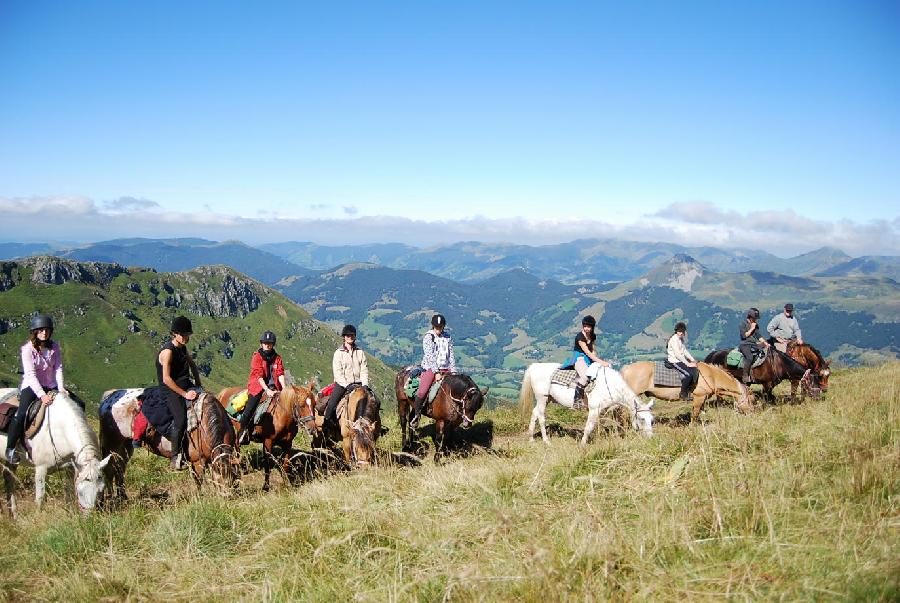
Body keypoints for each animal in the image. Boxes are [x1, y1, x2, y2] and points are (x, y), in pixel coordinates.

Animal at [0, 392, 111, 520]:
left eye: (101, 490)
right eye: (80, 492)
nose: (89, 519)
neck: (59, 428)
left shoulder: (70, 468)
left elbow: (68, 494)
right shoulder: (41, 469)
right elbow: (40, 499)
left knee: (8, 477)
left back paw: (13, 515)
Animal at [99, 386, 239, 500]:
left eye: (234, 476)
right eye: (219, 476)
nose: (227, 495)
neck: (204, 423)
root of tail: (108, 398)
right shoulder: (197, 461)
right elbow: (199, 481)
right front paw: (200, 497)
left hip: (125, 445)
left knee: (119, 467)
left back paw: (123, 496)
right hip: (111, 443)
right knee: (109, 469)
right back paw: (111, 497)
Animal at [516, 360, 656, 446]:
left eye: (652, 420)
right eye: (642, 419)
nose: (650, 438)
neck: (610, 385)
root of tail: (535, 366)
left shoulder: (608, 409)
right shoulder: (594, 409)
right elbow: (589, 427)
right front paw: (583, 444)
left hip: (547, 399)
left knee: (534, 413)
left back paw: (531, 439)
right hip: (542, 398)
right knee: (541, 416)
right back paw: (546, 441)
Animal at [620, 360, 752, 422]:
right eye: (750, 400)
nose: (752, 413)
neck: (711, 375)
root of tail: (626, 368)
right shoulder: (699, 397)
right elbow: (694, 415)